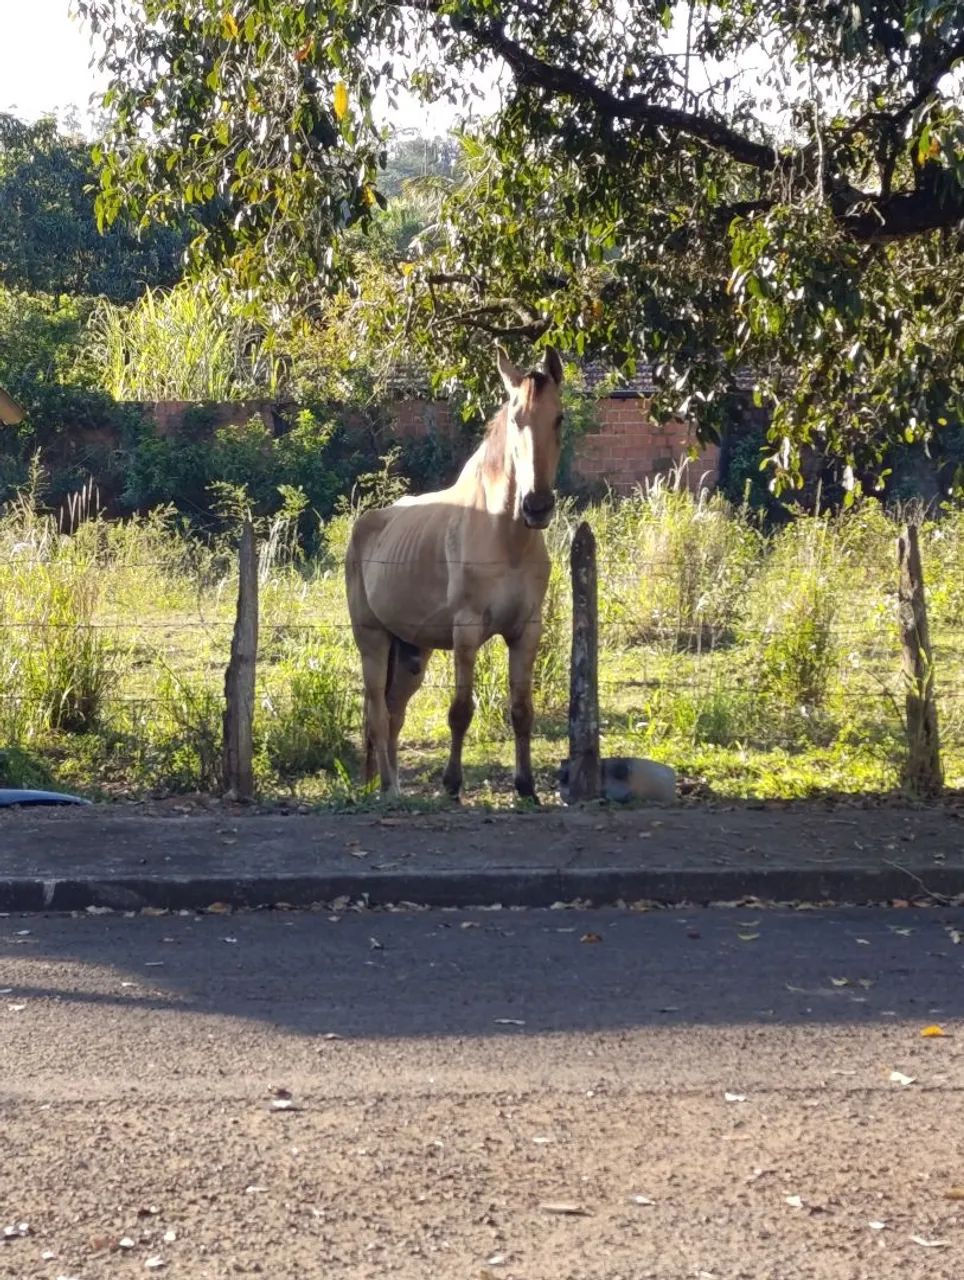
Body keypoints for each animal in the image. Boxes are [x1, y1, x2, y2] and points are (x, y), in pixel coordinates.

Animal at [345, 344, 565, 800]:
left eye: (560, 418)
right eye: (517, 419)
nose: (536, 506)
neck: (505, 537)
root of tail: (365, 526)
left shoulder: (527, 633)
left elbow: (522, 710)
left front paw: (526, 787)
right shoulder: (466, 634)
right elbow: (461, 711)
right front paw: (451, 785)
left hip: (411, 652)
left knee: (393, 713)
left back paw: (392, 785)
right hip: (372, 641)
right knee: (377, 711)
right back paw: (388, 788)